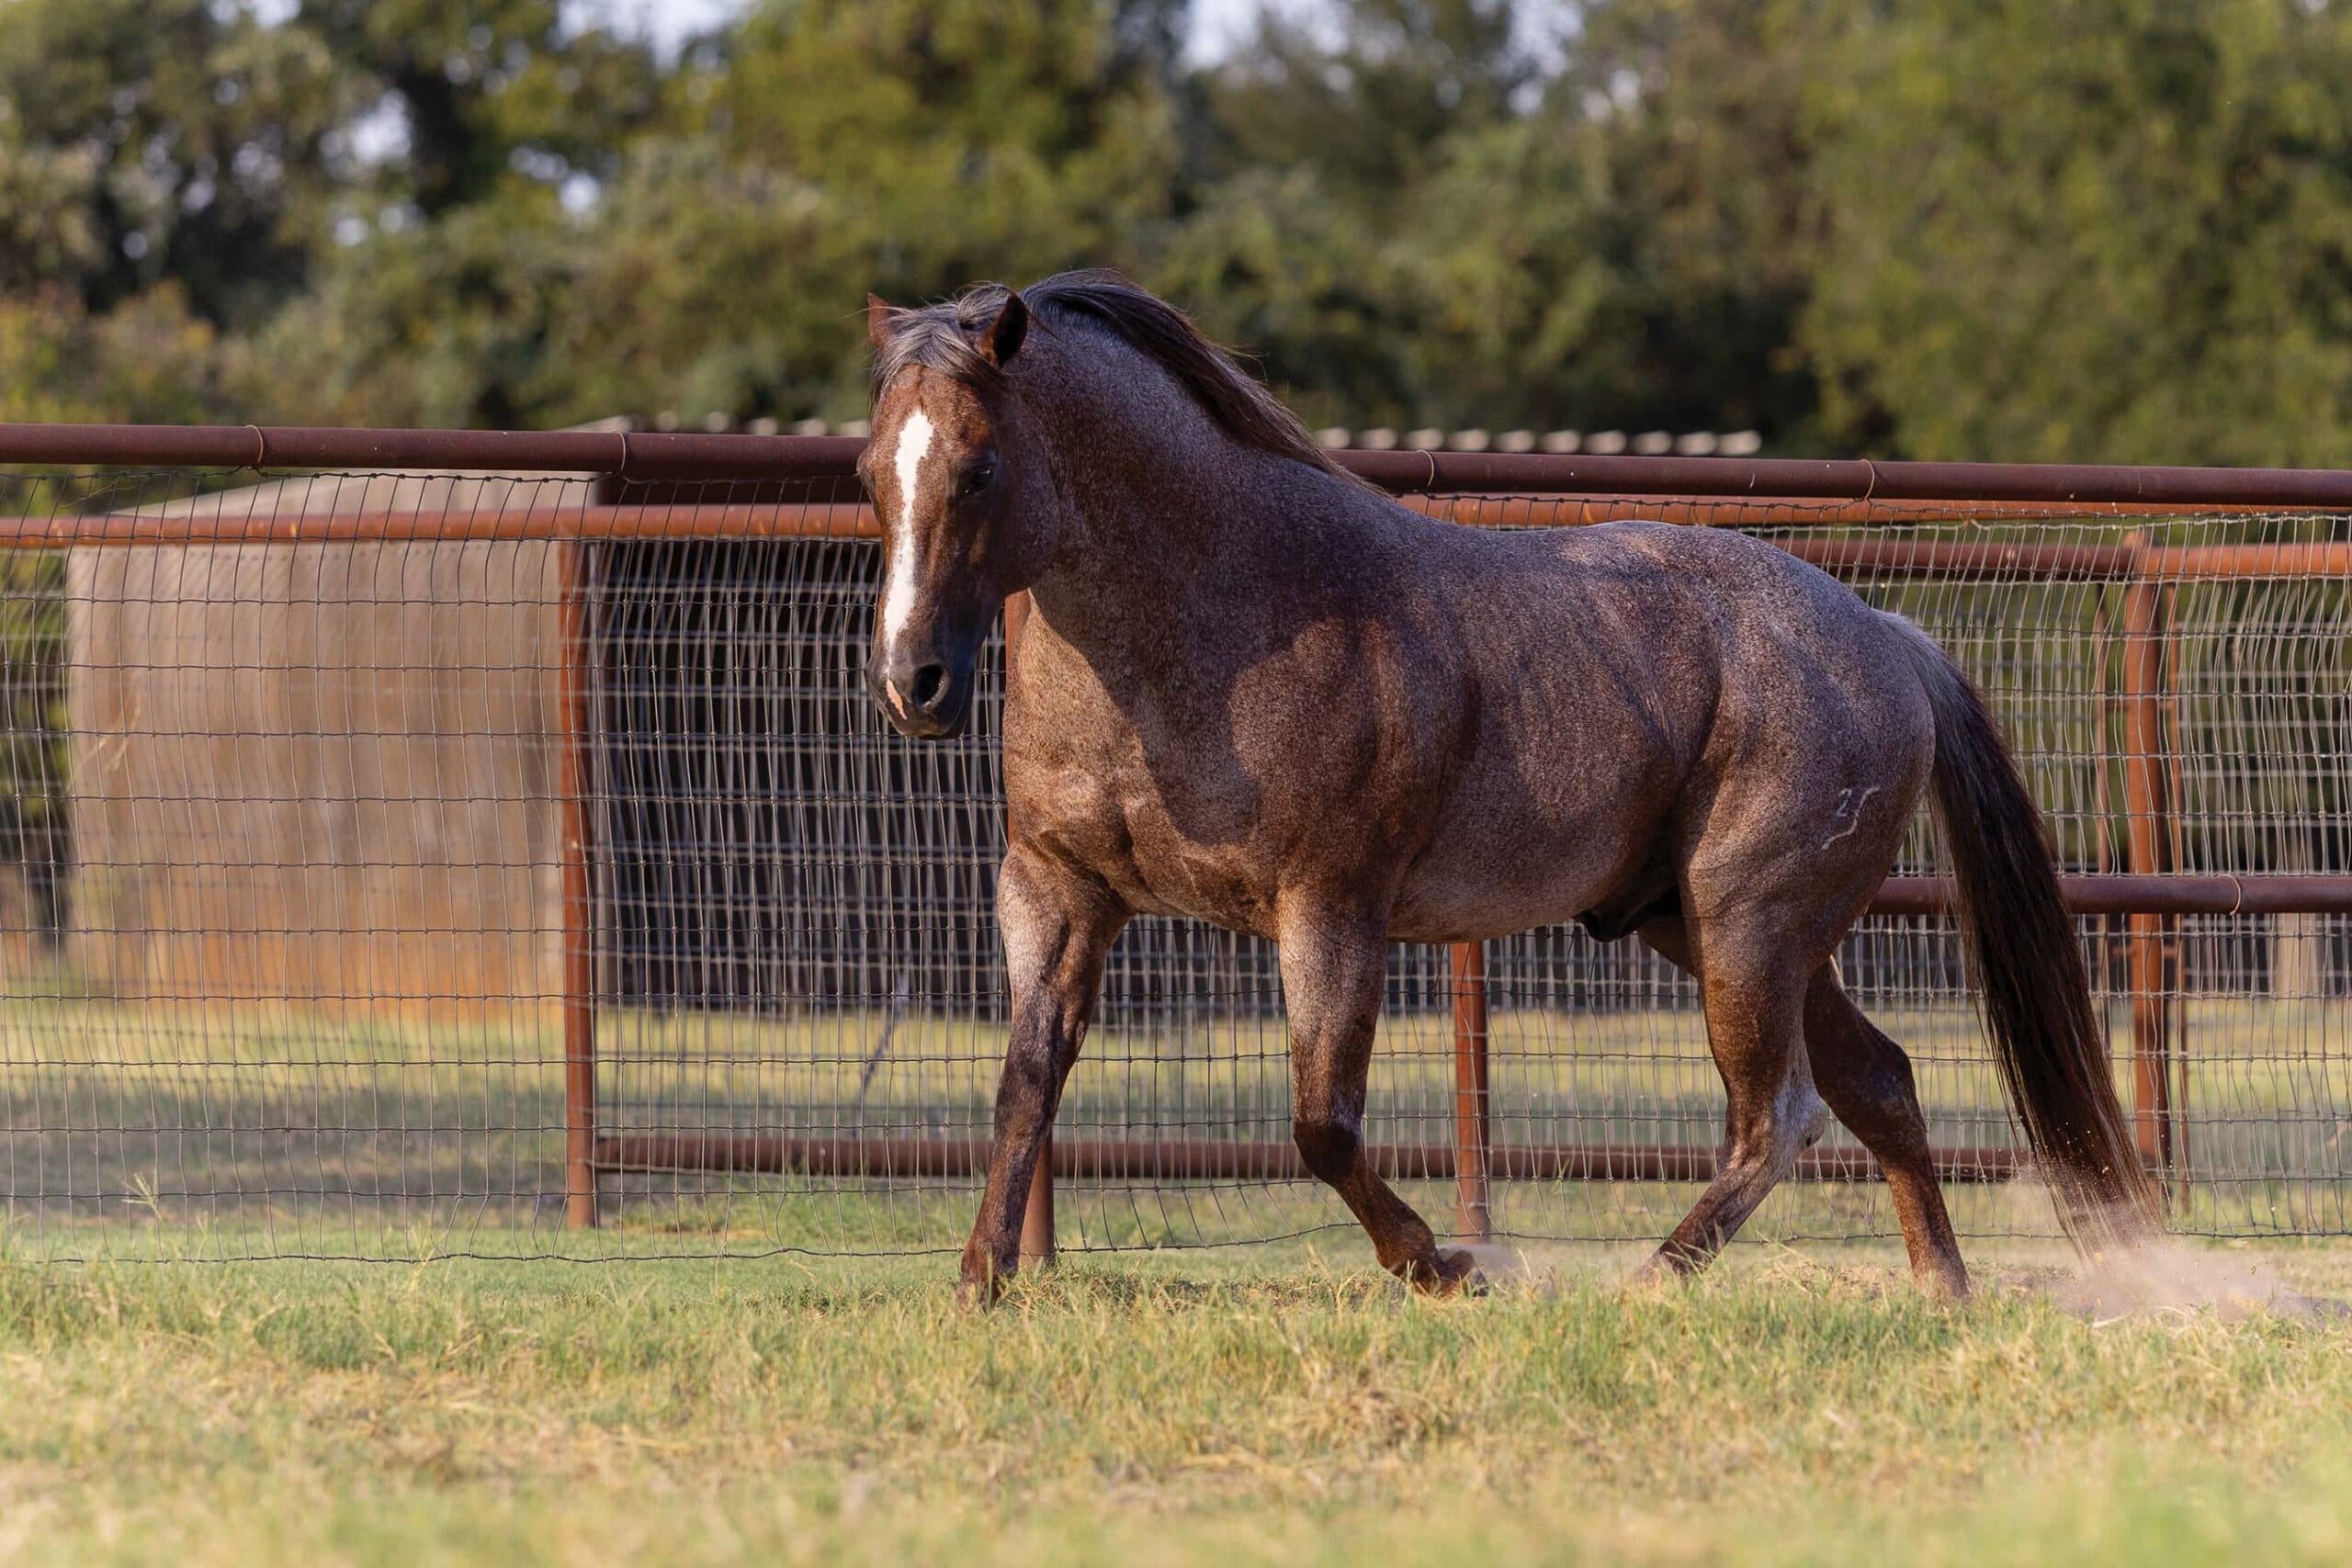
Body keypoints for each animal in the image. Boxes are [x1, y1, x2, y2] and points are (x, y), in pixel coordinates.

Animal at [857, 270, 2159, 1302]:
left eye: (979, 469)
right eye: (873, 472)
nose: (911, 682)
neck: (1221, 619)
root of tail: (1886, 636)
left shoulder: (1331, 906)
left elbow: (1321, 1124)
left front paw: (1446, 1266)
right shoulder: (1058, 889)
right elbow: (1026, 1081)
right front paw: (978, 1281)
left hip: (1751, 924)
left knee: (1776, 1112)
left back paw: (1650, 1282)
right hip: (1714, 927)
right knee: (1877, 1082)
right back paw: (1944, 1291)